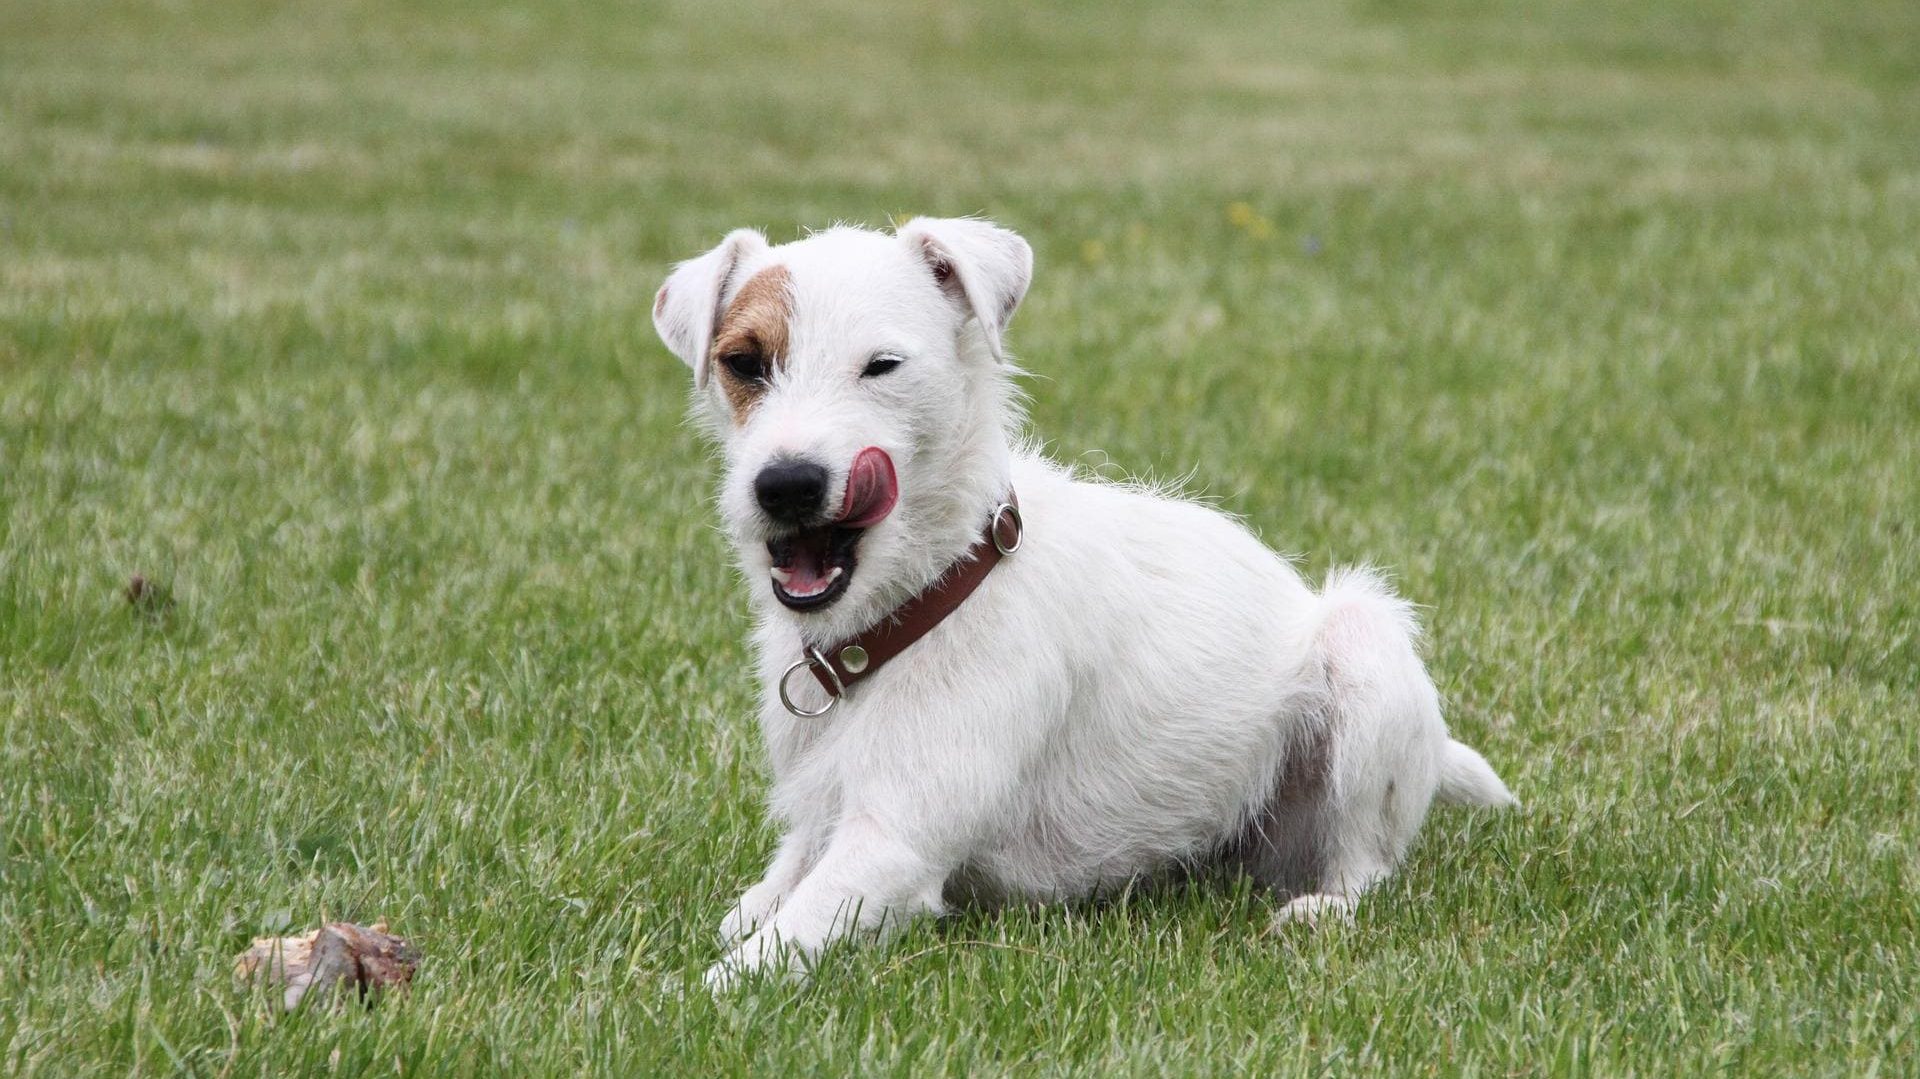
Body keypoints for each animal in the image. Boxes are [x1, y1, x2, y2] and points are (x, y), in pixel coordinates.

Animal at [652, 215, 1520, 983]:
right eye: (744, 362)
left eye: (883, 365)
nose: (786, 484)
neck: (918, 602)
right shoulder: (821, 819)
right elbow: (762, 898)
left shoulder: (894, 844)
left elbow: (750, 961)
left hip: (1362, 645)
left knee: (1368, 866)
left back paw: (1322, 907)